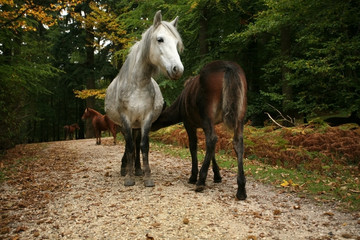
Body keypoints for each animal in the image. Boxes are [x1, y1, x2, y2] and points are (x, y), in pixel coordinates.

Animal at [104, 10, 183, 188]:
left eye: (176, 43)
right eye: (160, 39)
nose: (178, 69)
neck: (138, 85)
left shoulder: (146, 118)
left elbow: (143, 146)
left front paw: (147, 177)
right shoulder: (125, 119)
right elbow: (129, 147)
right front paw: (129, 178)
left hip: (137, 124)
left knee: (136, 142)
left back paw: (138, 169)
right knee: (130, 144)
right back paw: (126, 168)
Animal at [151, 61, 248, 200]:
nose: (148, 126)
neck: (179, 108)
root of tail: (229, 68)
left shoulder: (189, 122)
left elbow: (193, 146)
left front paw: (193, 176)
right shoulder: (211, 122)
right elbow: (212, 150)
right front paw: (217, 175)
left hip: (207, 109)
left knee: (212, 139)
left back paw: (200, 181)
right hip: (240, 111)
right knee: (237, 141)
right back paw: (241, 189)